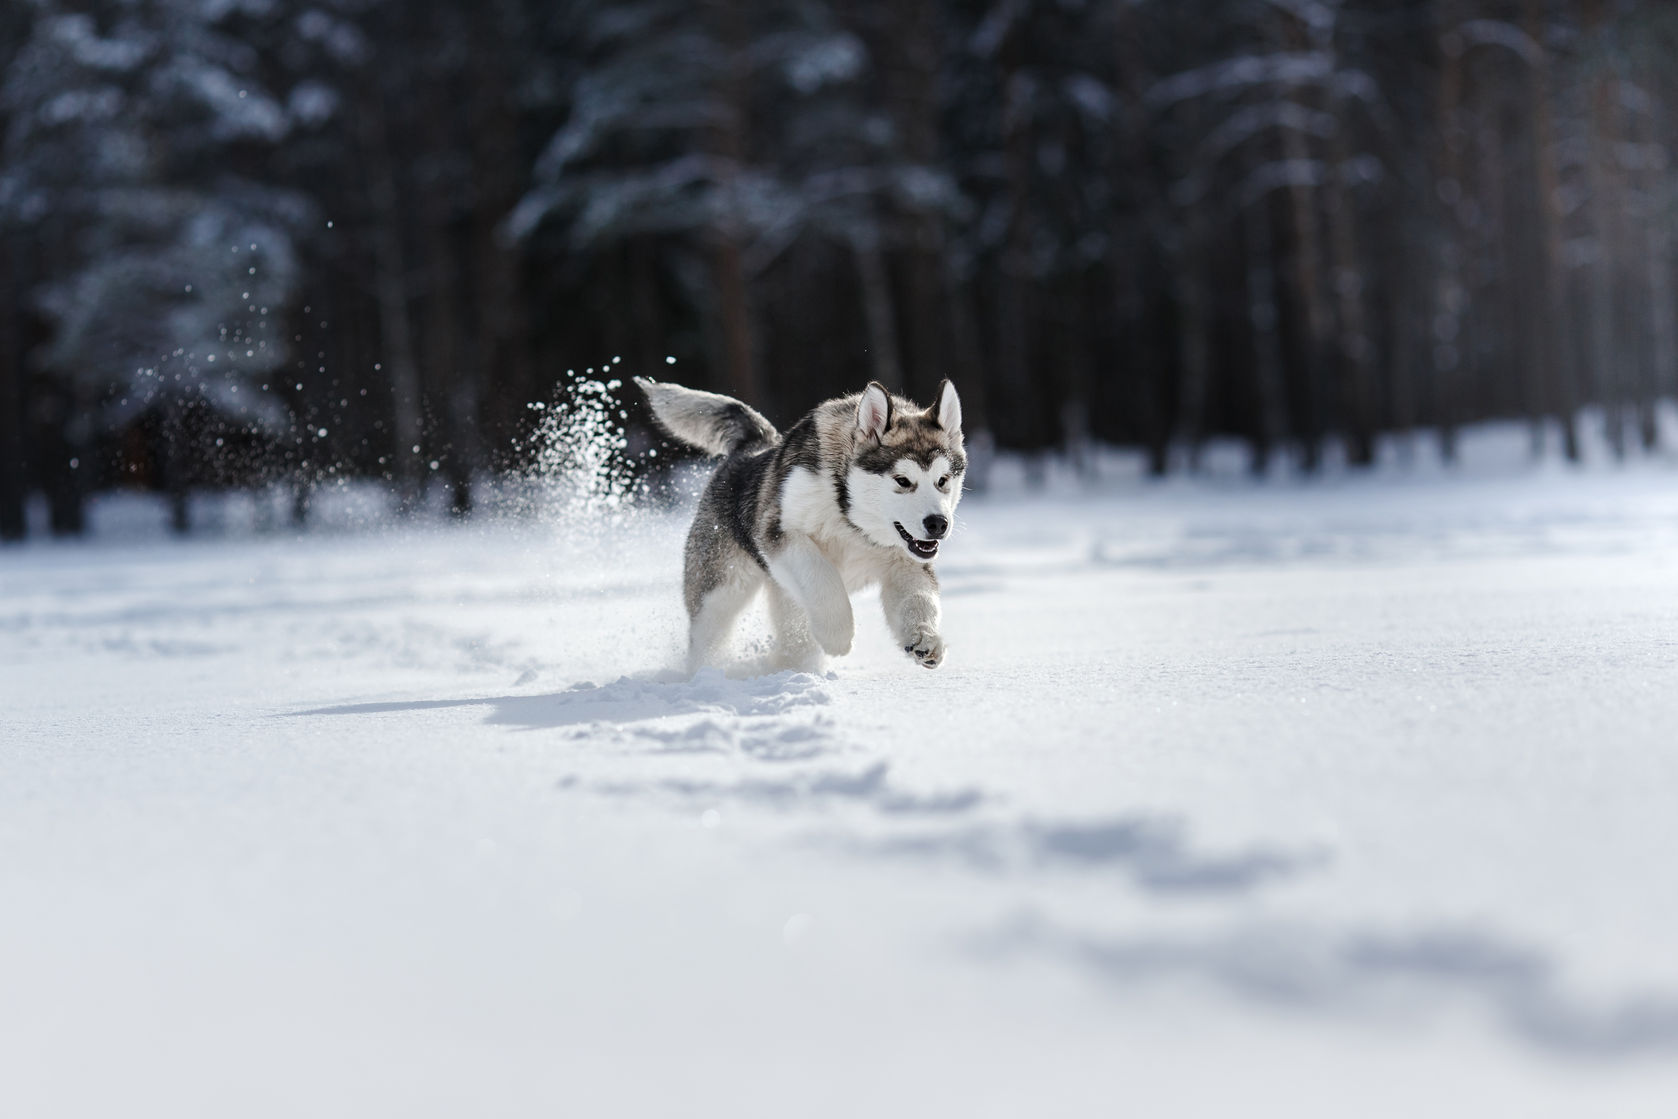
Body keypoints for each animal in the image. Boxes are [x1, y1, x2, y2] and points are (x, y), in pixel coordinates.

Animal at [630, 375, 973, 674]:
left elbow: (918, 599)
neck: (851, 518)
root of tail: (753, 447)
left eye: (943, 480)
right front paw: (838, 636)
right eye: (903, 481)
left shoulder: (905, 559)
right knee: (709, 636)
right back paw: (705, 676)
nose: (938, 524)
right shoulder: (780, 534)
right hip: (720, 592)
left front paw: (924, 638)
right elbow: (823, 578)